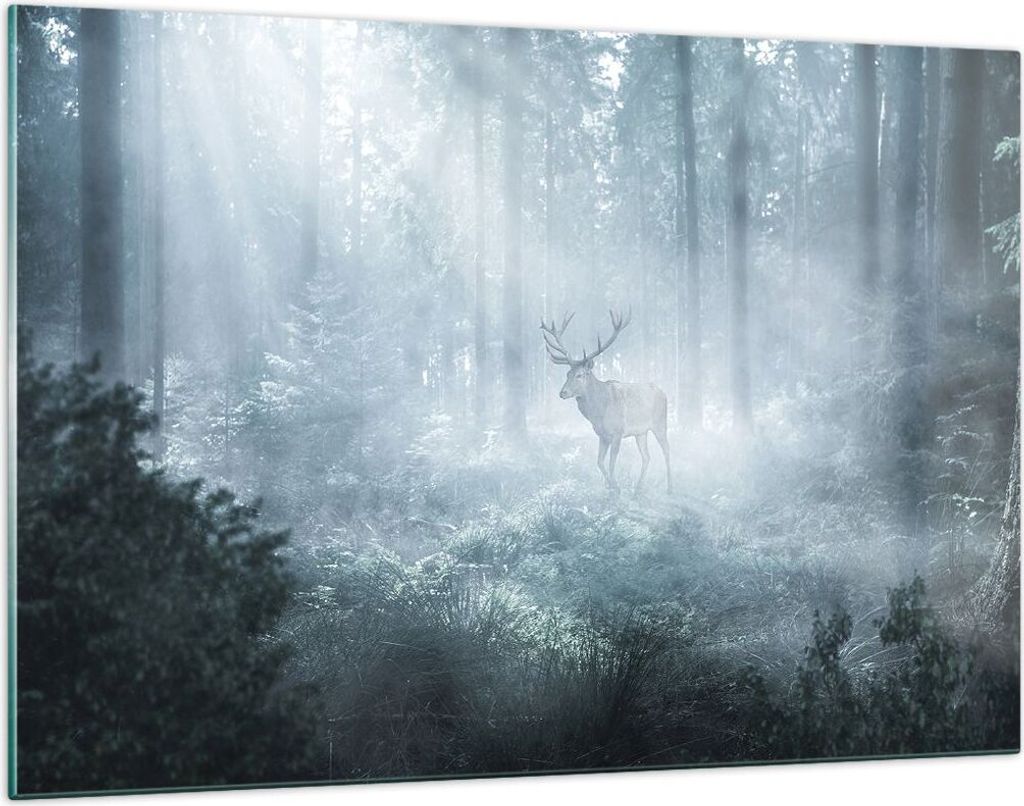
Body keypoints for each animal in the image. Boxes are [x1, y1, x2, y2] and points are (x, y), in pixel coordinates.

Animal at [541, 308, 671, 495]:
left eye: (580, 375)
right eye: (567, 374)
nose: (562, 392)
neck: (598, 412)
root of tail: (663, 392)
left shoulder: (617, 432)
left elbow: (610, 463)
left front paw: (616, 488)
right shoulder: (602, 435)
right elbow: (599, 462)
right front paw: (610, 487)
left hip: (660, 423)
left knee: (667, 450)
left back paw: (670, 488)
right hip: (641, 432)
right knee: (646, 456)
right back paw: (638, 489)